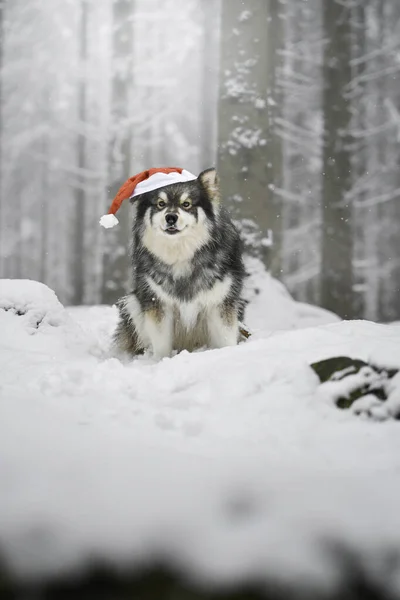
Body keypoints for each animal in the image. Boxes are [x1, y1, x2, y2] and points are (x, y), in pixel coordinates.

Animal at [111, 166, 245, 358]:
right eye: (161, 204)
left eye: (186, 204)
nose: (171, 217)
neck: (180, 253)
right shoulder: (158, 304)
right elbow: (161, 344)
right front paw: (161, 361)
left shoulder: (220, 302)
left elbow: (226, 340)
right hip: (132, 303)